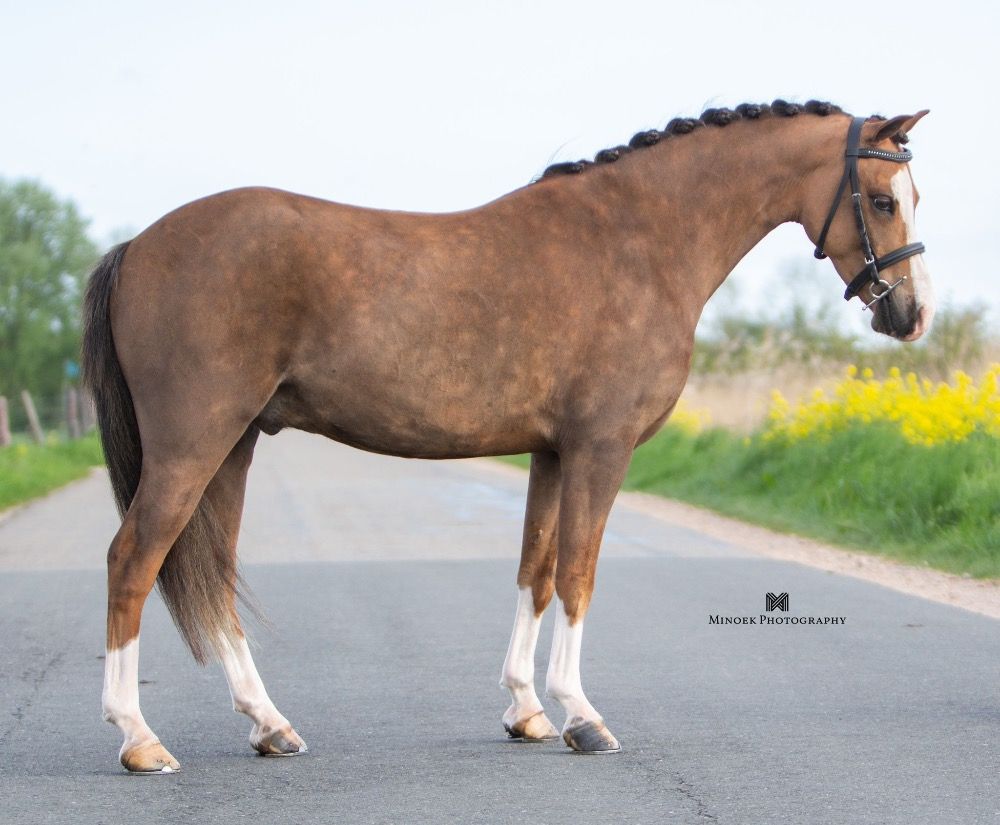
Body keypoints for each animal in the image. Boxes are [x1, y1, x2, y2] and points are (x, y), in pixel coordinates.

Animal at [82, 99, 933, 773]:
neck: (640, 237)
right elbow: (581, 574)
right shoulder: (600, 448)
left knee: (213, 575)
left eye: (913, 193)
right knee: (132, 560)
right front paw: (582, 716)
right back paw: (139, 739)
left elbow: (538, 572)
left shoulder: (551, 451)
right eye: (882, 199)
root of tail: (138, 246)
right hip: (194, 445)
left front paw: (527, 711)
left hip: (235, 445)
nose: (912, 314)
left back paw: (271, 725)